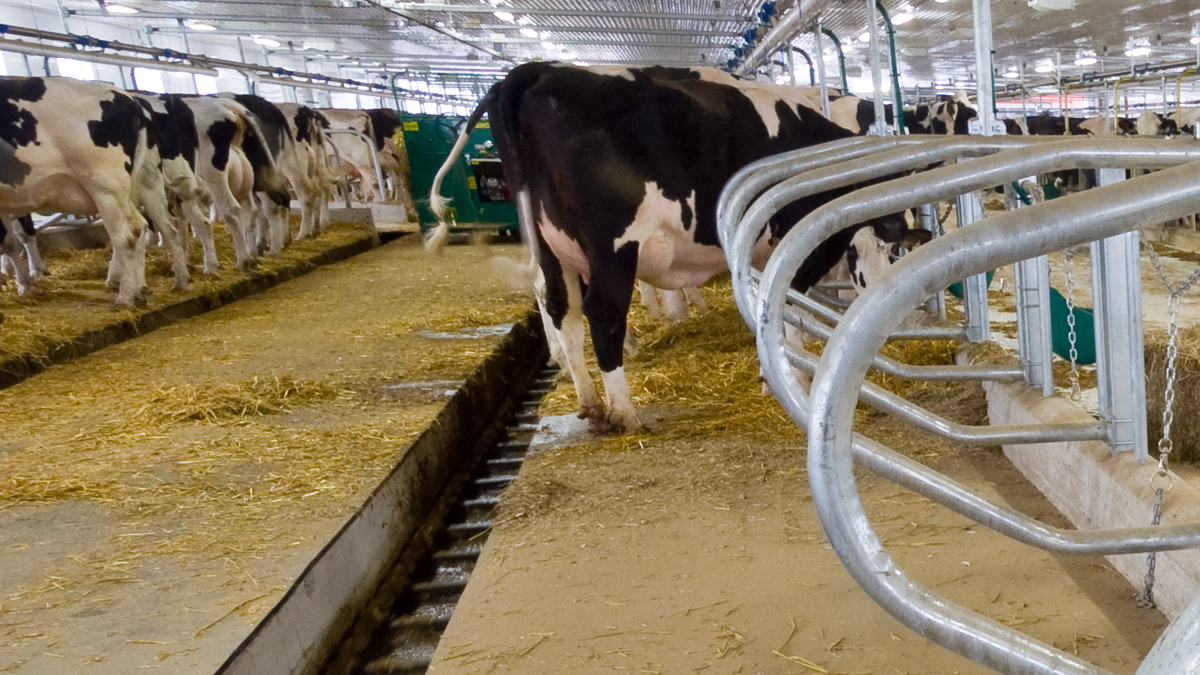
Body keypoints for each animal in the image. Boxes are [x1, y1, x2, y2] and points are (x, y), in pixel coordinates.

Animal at [427, 63, 921, 429]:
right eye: (888, 252)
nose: (896, 322)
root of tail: (532, 73)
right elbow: (787, 309)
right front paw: (788, 375)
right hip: (612, 246)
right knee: (601, 314)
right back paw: (624, 411)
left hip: (552, 246)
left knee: (560, 309)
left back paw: (589, 402)